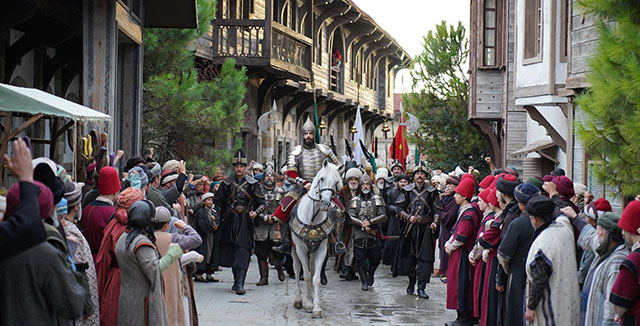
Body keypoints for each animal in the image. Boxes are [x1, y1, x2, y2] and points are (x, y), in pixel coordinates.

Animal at [288, 160, 342, 318]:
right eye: (322, 179)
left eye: (336, 182)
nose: (325, 203)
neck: (312, 218)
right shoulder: (300, 249)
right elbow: (305, 275)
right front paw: (308, 304)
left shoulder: (321, 250)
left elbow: (315, 278)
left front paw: (316, 307)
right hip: (294, 250)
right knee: (297, 270)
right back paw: (299, 300)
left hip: (312, 252)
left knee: (311, 271)